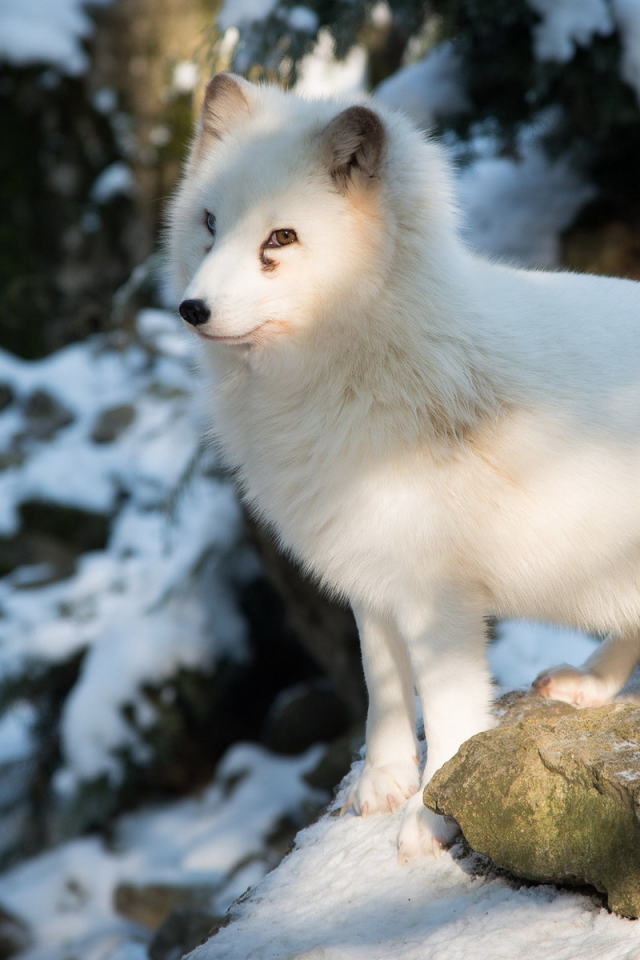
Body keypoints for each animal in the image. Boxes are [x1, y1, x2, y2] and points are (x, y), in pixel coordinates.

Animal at [168, 73, 640, 856]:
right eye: (209, 223)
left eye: (279, 238)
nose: (191, 308)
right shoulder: (369, 571)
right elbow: (383, 685)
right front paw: (384, 786)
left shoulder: (438, 594)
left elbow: (448, 710)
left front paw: (432, 816)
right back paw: (589, 686)